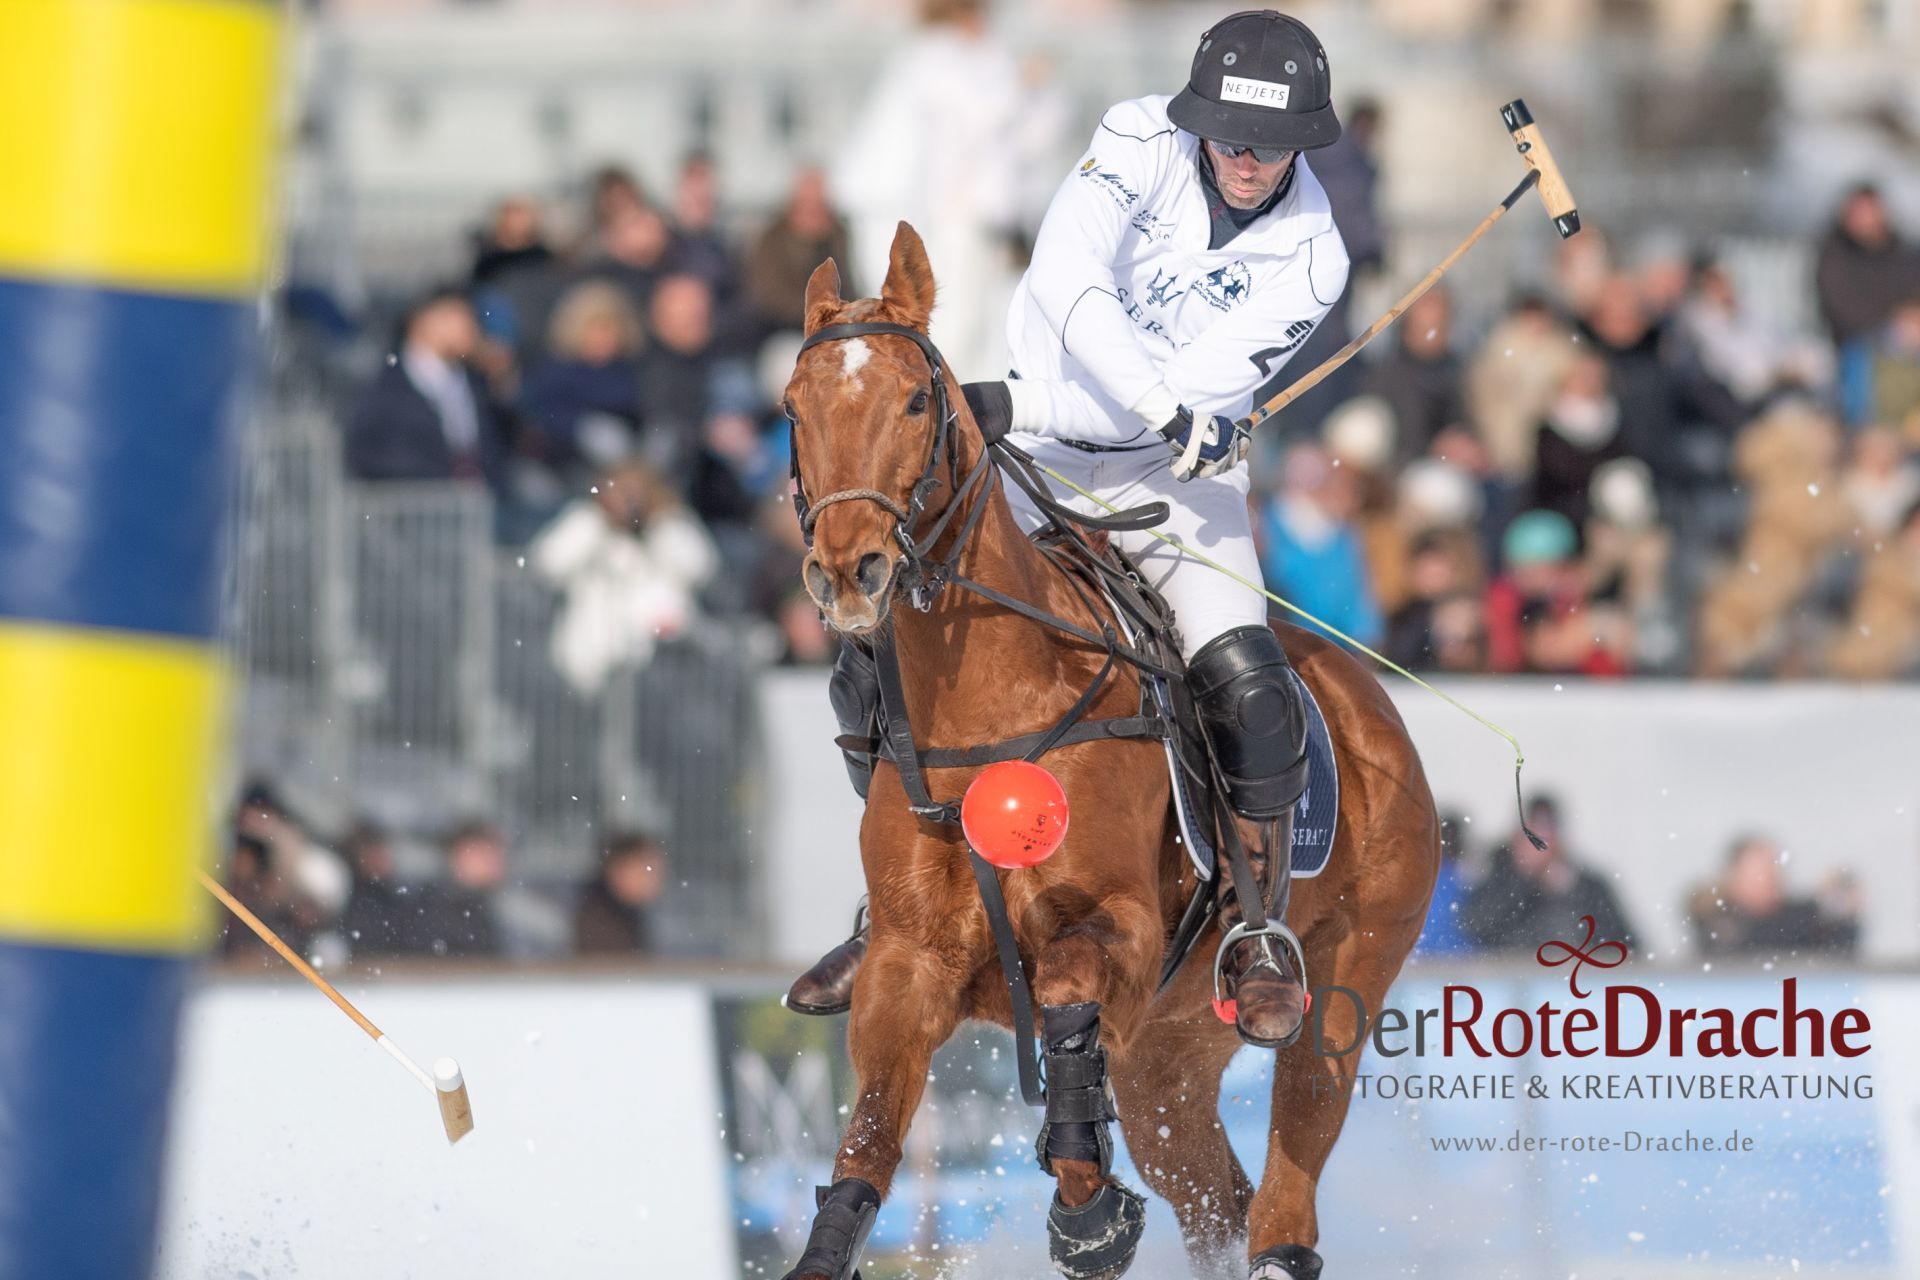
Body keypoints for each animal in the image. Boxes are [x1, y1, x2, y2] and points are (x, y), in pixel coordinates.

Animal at [780, 221, 1439, 1280]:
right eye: (791, 408)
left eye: (917, 398)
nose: (848, 572)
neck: (989, 708)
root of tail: (1368, 694)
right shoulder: (906, 963)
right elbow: (869, 1135)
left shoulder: (1121, 928)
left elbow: (1065, 998)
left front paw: (1089, 1217)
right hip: (1171, 1055)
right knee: (1220, 1202)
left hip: (1341, 995)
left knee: (1282, 1204)